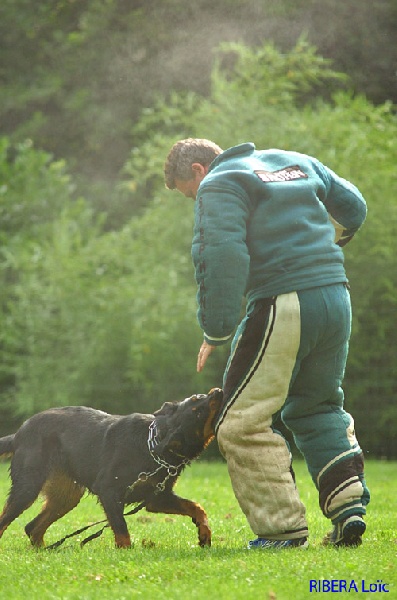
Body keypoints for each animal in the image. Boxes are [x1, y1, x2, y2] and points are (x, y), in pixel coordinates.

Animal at [0, 390, 223, 548]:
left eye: (198, 397)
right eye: (198, 410)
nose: (218, 391)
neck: (152, 446)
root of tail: (19, 433)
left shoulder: (157, 497)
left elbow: (196, 507)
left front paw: (204, 533)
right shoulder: (109, 491)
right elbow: (121, 528)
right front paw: (125, 552)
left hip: (67, 496)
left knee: (32, 527)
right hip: (28, 487)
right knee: (6, 521)